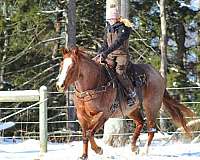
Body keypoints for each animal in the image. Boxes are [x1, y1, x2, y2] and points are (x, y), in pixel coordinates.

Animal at [55, 47, 194, 159]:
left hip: (151, 107)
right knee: (140, 123)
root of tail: (158, 75)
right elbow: (85, 135)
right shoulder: (81, 116)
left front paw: (98, 150)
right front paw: (84, 155)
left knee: (151, 130)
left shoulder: (104, 114)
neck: (94, 85)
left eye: (72, 66)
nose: (59, 85)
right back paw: (133, 147)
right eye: (61, 64)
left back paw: (144, 152)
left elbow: (90, 132)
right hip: (131, 110)